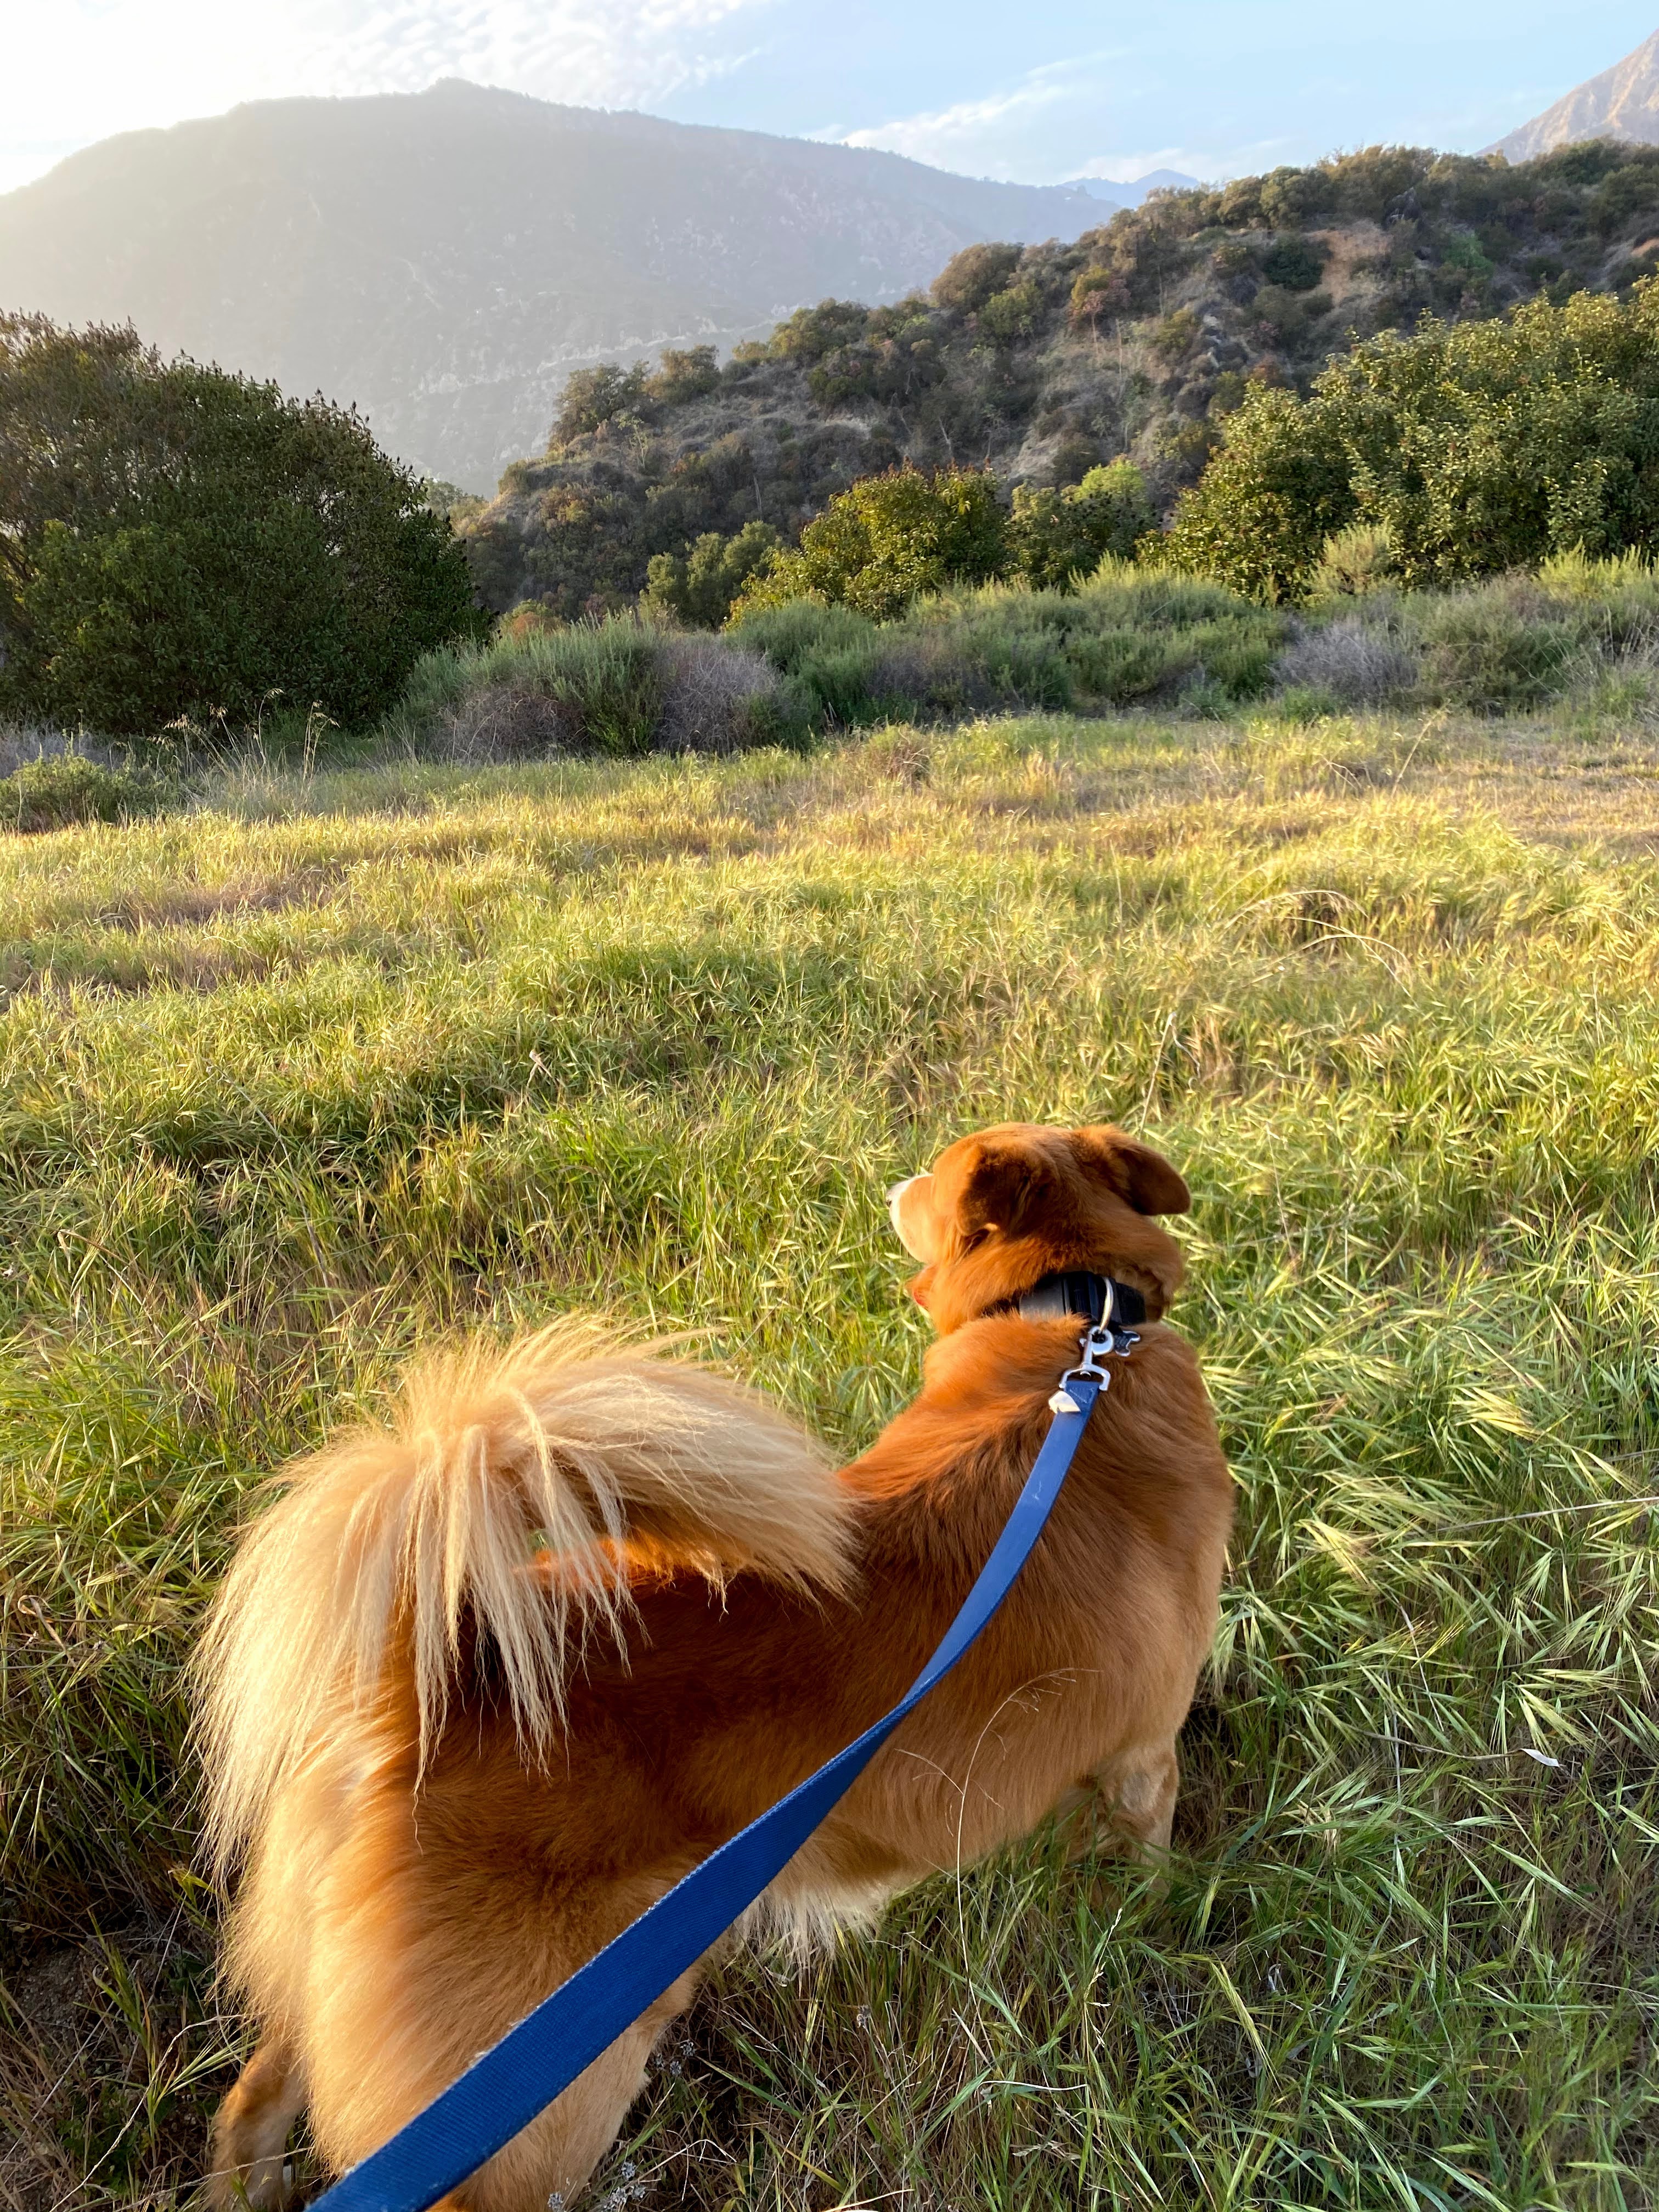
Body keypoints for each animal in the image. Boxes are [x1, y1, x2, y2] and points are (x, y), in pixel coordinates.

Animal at [198, 1124, 1238, 2212]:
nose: (894, 1178)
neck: (1076, 1333)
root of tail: (433, 1674)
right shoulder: (1142, 1760)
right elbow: (1145, 1864)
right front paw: (1155, 1925)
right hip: (546, 2082)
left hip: (333, 1987)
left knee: (258, 2096)